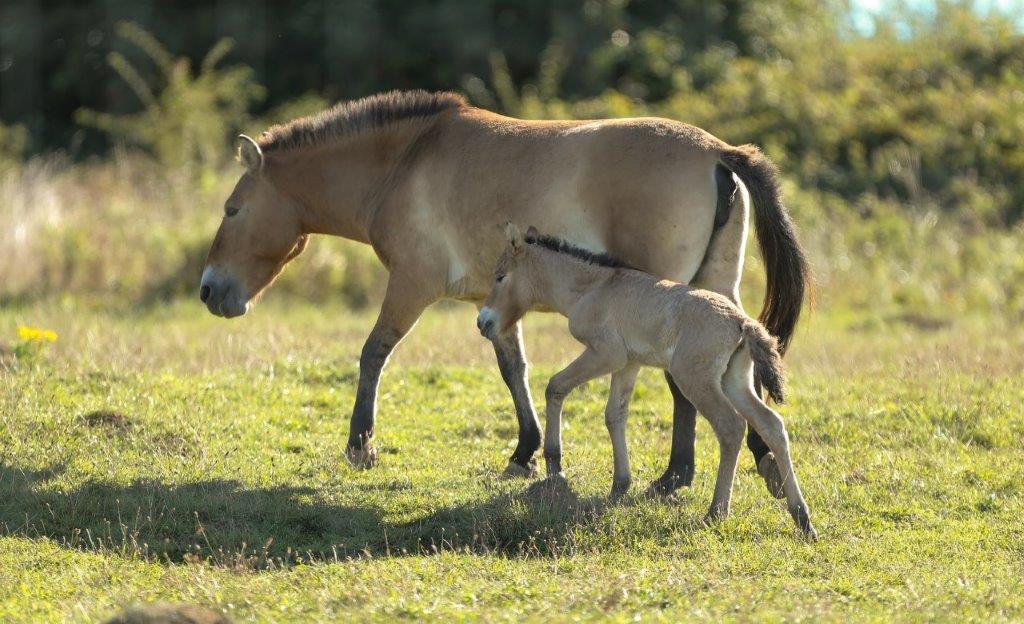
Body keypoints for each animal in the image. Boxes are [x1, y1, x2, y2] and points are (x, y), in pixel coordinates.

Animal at [199, 90, 806, 495]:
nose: (207, 291)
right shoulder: (492, 303)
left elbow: (374, 353)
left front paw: (360, 444)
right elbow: (514, 370)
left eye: (232, 209)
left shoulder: (411, 285)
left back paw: (677, 475)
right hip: (716, 286)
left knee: (686, 379)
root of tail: (719, 152)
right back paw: (754, 464)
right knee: (737, 364)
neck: (404, 162)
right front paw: (526, 452)